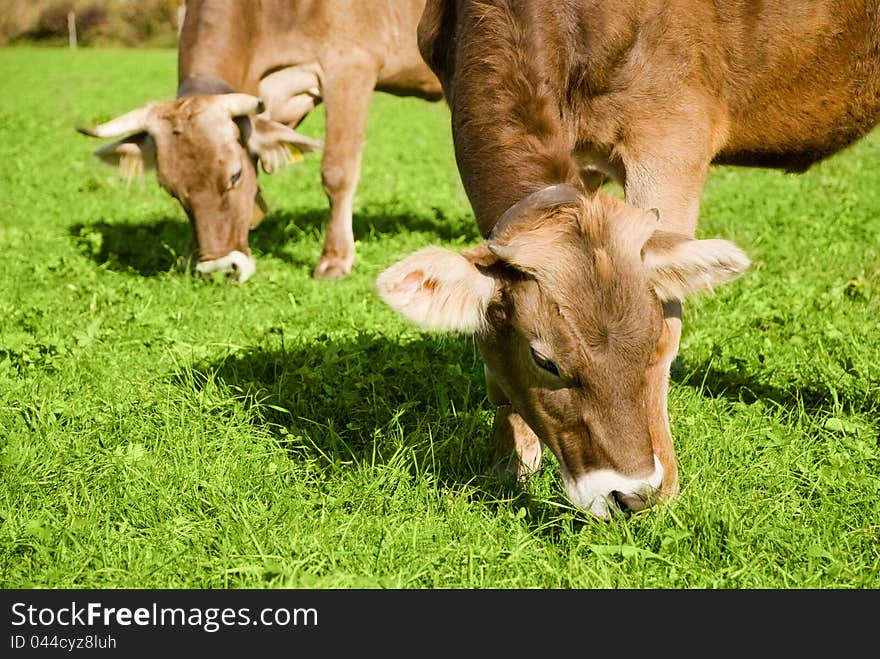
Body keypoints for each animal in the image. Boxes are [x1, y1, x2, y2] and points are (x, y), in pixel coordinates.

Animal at [80, 0, 444, 282]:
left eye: (234, 176)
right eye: (170, 189)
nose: (219, 269)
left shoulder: (350, 68)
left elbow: (337, 171)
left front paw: (334, 260)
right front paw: (189, 254)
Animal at [378, 0, 880, 520]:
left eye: (649, 339)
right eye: (544, 360)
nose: (630, 494)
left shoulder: (671, 135)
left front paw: (667, 488)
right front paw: (510, 463)